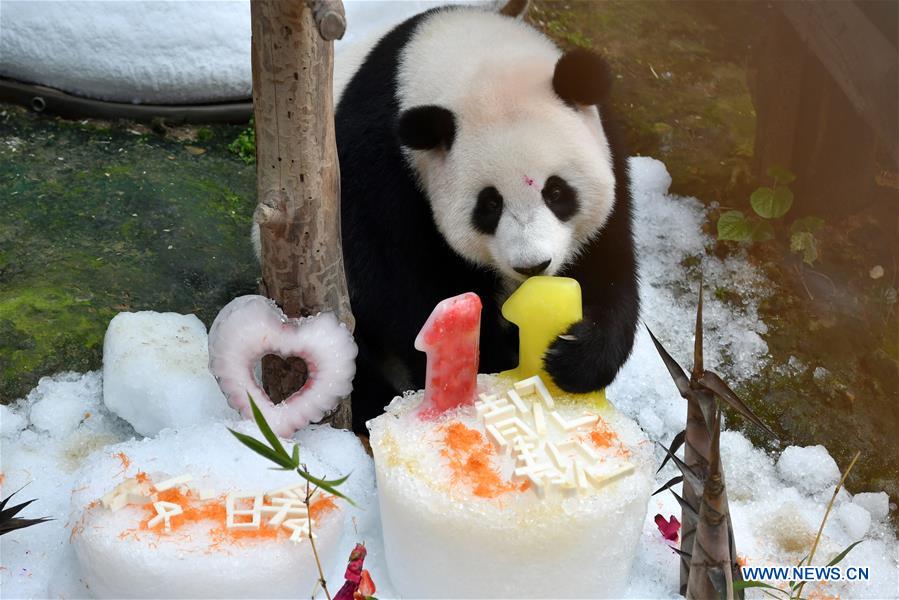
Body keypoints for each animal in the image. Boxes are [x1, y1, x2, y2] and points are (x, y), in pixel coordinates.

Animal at [337, 5, 638, 431]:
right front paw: (492, 362)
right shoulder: (379, 170)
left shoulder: (608, 146)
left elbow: (609, 264)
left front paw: (574, 355)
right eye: (489, 204)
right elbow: (394, 284)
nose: (533, 265)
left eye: (556, 192)